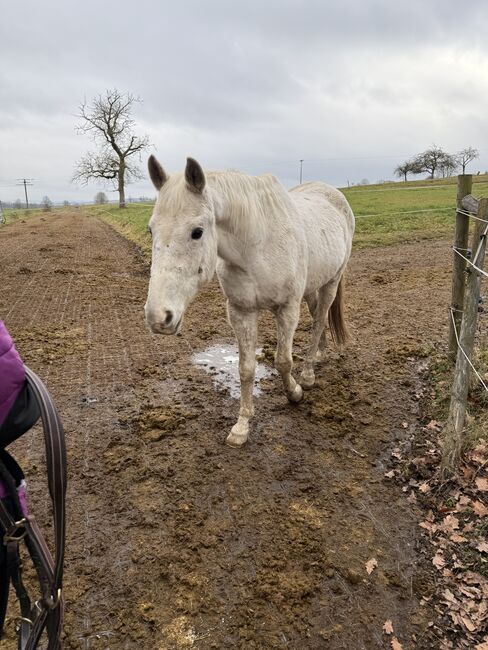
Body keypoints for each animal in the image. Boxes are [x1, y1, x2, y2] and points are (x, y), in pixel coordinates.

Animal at [145, 156, 355, 448]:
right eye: (151, 230)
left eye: (197, 232)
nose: (158, 317)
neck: (256, 247)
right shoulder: (241, 312)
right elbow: (245, 369)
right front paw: (242, 426)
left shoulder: (287, 309)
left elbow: (282, 360)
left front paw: (295, 393)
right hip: (313, 285)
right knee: (317, 319)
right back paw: (320, 354)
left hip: (331, 283)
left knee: (319, 320)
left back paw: (309, 374)